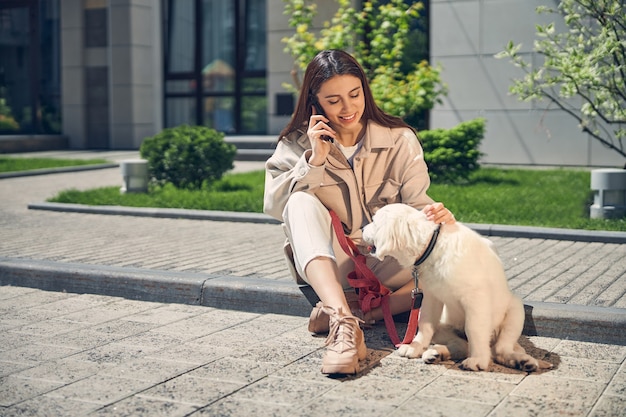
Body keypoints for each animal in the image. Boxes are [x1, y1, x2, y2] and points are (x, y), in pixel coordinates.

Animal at [360, 203, 552, 368]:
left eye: (374, 222)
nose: (361, 229)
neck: (433, 246)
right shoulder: (431, 297)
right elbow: (424, 324)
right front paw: (415, 347)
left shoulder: (476, 298)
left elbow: (474, 328)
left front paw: (478, 360)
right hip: (443, 325)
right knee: (461, 345)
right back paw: (436, 353)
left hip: (515, 309)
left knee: (500, 349)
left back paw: (522, 361)